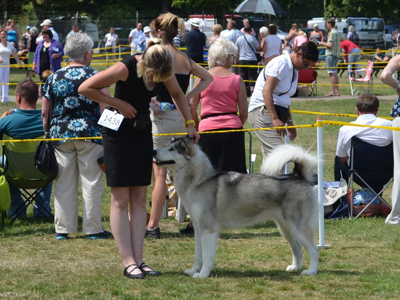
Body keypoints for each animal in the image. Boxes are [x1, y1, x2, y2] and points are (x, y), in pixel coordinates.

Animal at [153, 137, 318, 278]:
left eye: (171, 149)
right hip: (286, 228)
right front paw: (194, 270)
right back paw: (295, 267)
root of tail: (298, 176)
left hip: (298, 228)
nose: (154, 151)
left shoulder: (208, 230)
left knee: (314, 250)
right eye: (167, 146)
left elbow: (206, 256)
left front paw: (203, 274)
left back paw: (311, 271)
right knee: (297, 249)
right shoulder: (198, 229)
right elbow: (198, 255)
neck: (199, 181)